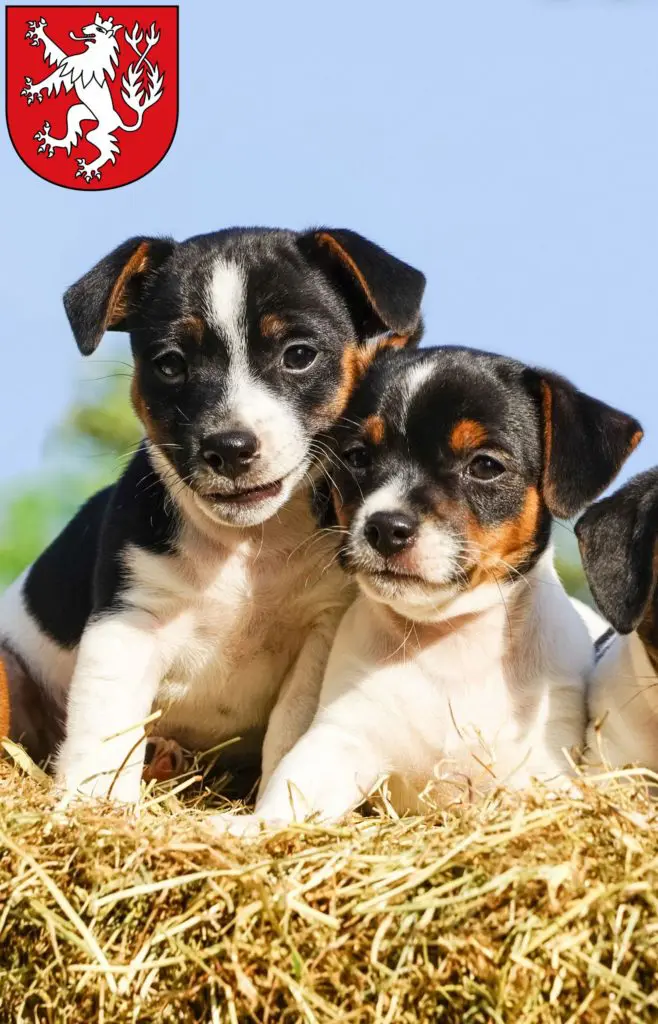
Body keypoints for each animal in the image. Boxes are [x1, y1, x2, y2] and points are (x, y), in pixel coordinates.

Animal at [0, 228, 425, 802]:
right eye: (170, 364)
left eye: (299, 355)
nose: (229, 447)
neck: (248, 545)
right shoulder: (127, 622)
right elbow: (105, 734)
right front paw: (94, 805)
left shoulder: (320, 633)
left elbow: (289, 732)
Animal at [212, 344, 642, 831]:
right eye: (357, 456)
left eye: (486, 465)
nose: (385, 528)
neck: (448, 645)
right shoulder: (340, 735)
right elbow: (291, 791)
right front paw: (249, 825)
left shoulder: (542, 767)